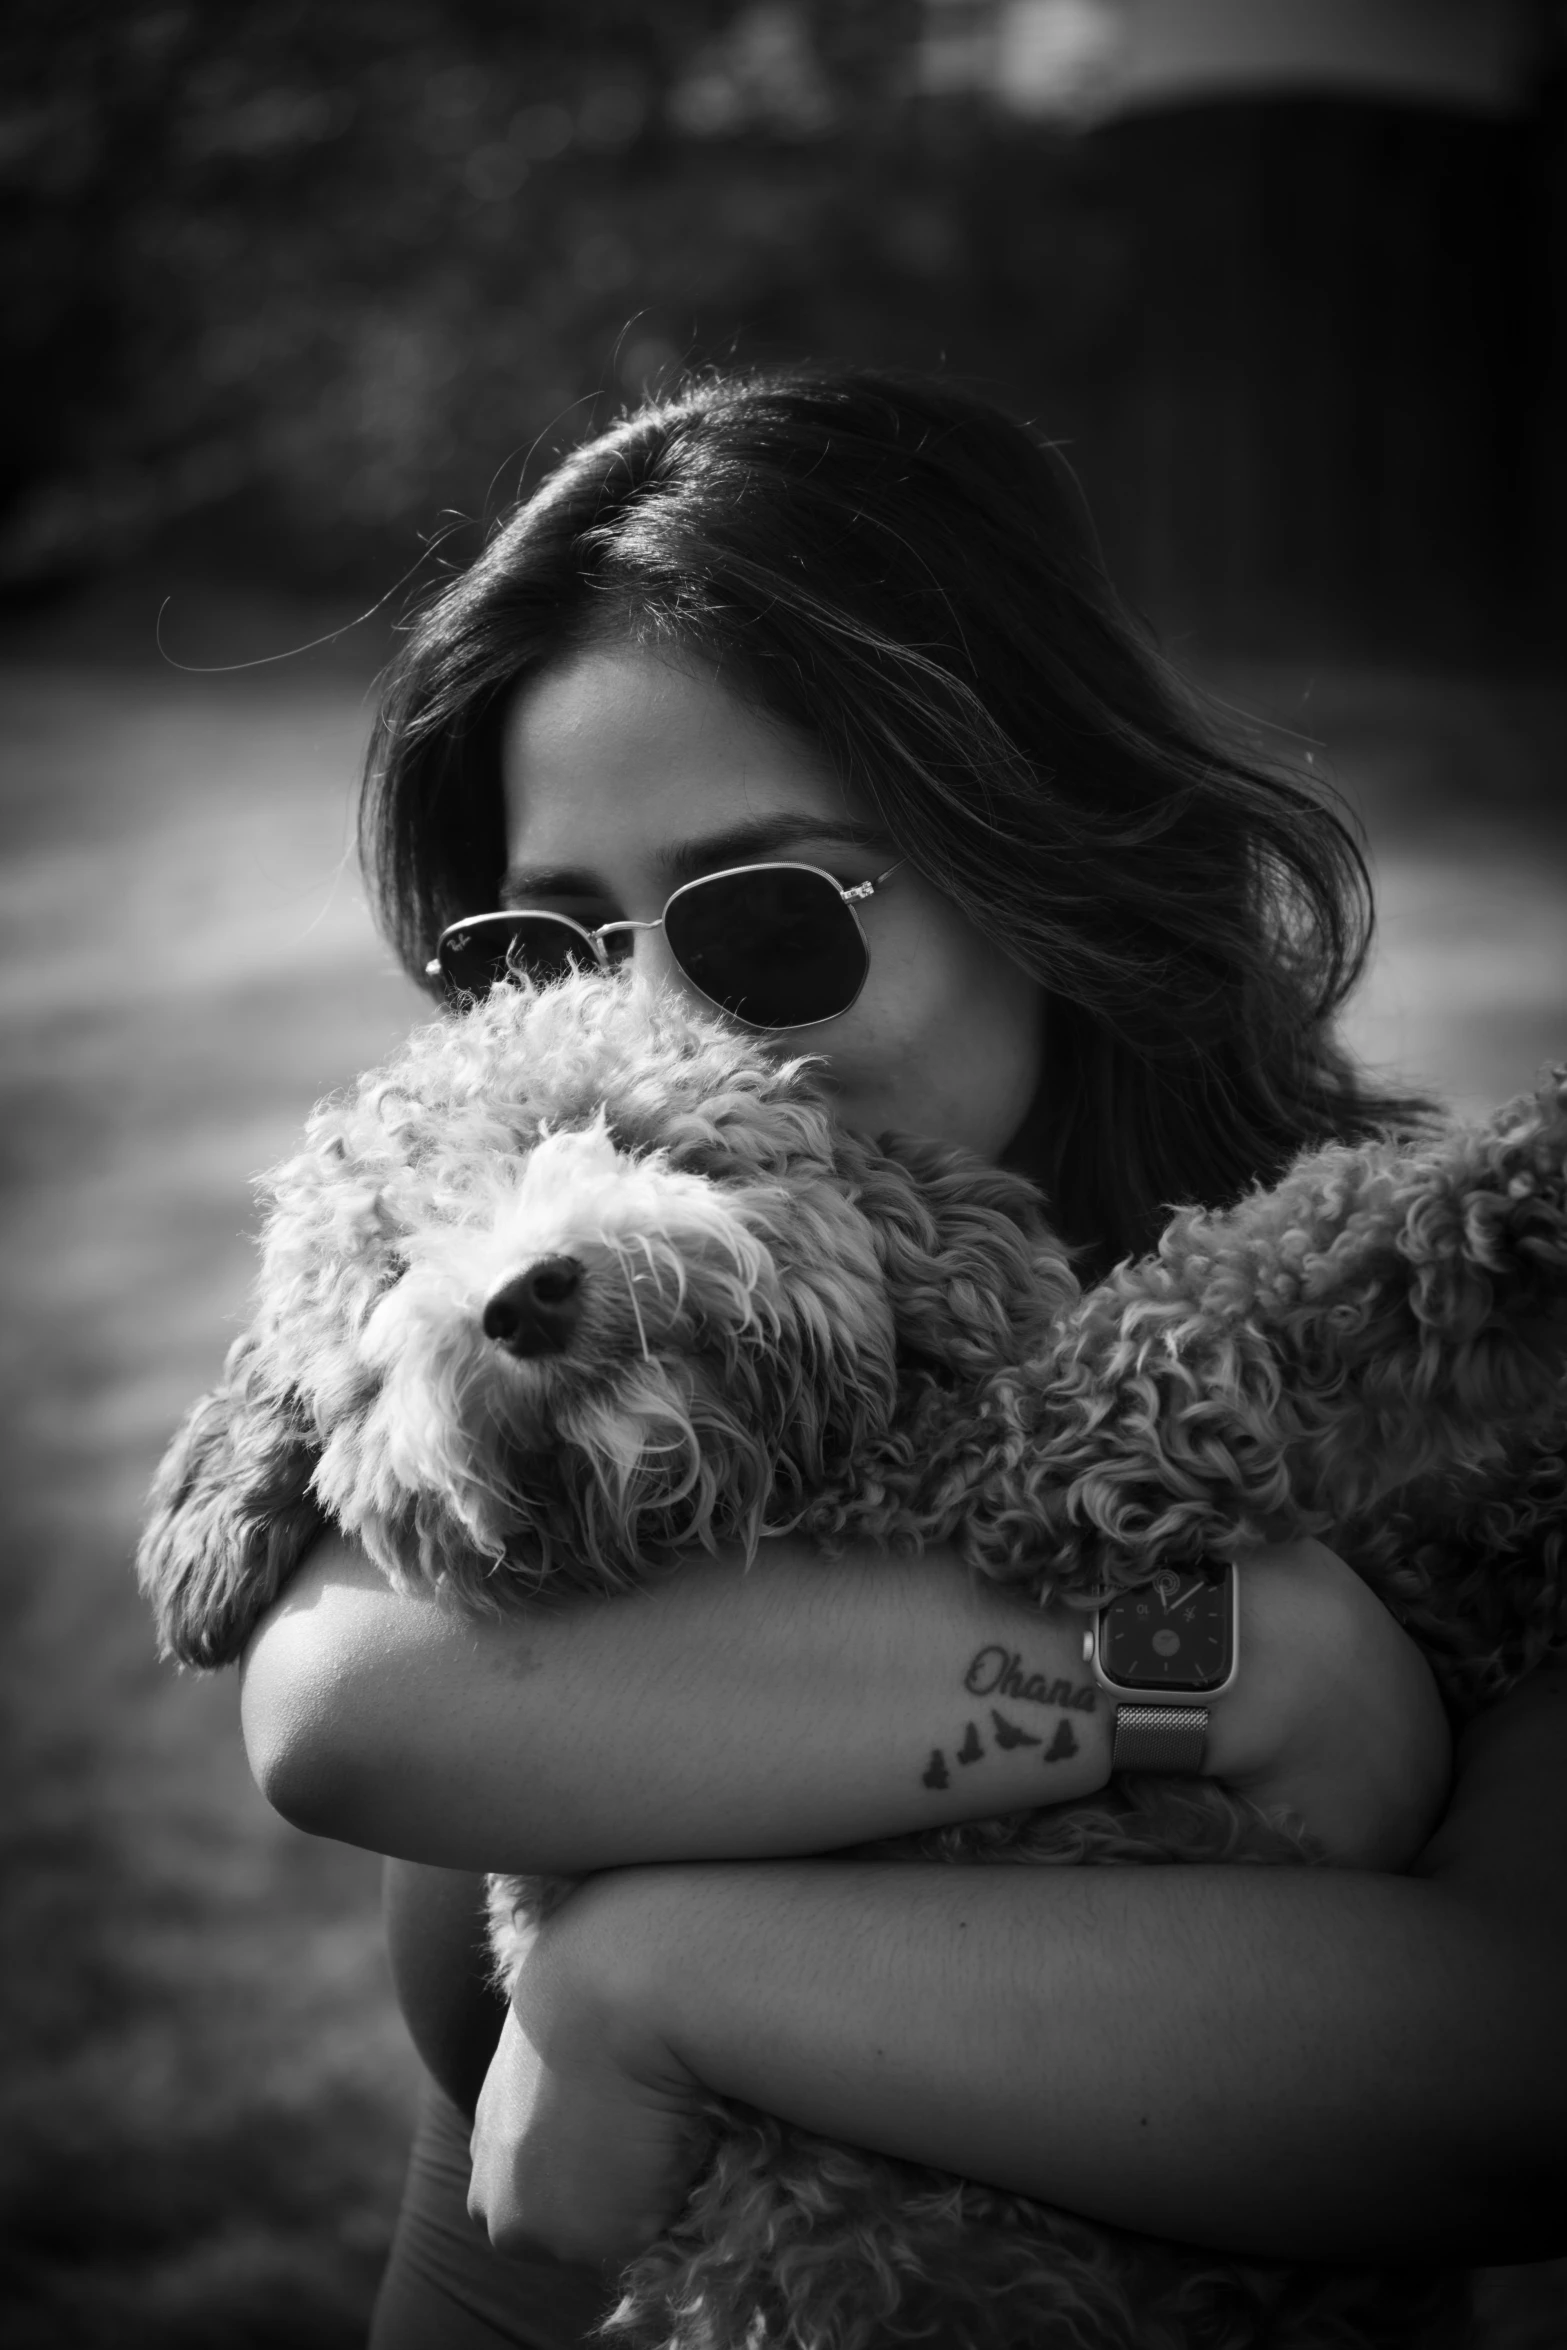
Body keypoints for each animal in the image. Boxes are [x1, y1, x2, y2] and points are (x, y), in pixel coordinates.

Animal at [140, 972, 1567, 2350]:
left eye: (616, 1131)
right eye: (391, 1269)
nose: (525, 1294)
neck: (745, 1491)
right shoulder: (1035, 1465)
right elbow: (1245, 1291)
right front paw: (1513, 1185)